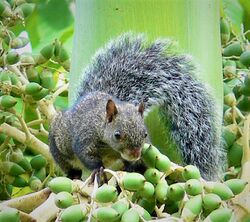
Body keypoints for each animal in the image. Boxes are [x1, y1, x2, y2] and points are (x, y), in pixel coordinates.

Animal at [48, 33, 225, 180]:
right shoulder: (85, 138)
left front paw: (134, 166)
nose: (135, 154)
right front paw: (98, 169)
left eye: (145, 134)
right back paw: (74, 175)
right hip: (58, 148)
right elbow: (87, 156)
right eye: (117, 135)